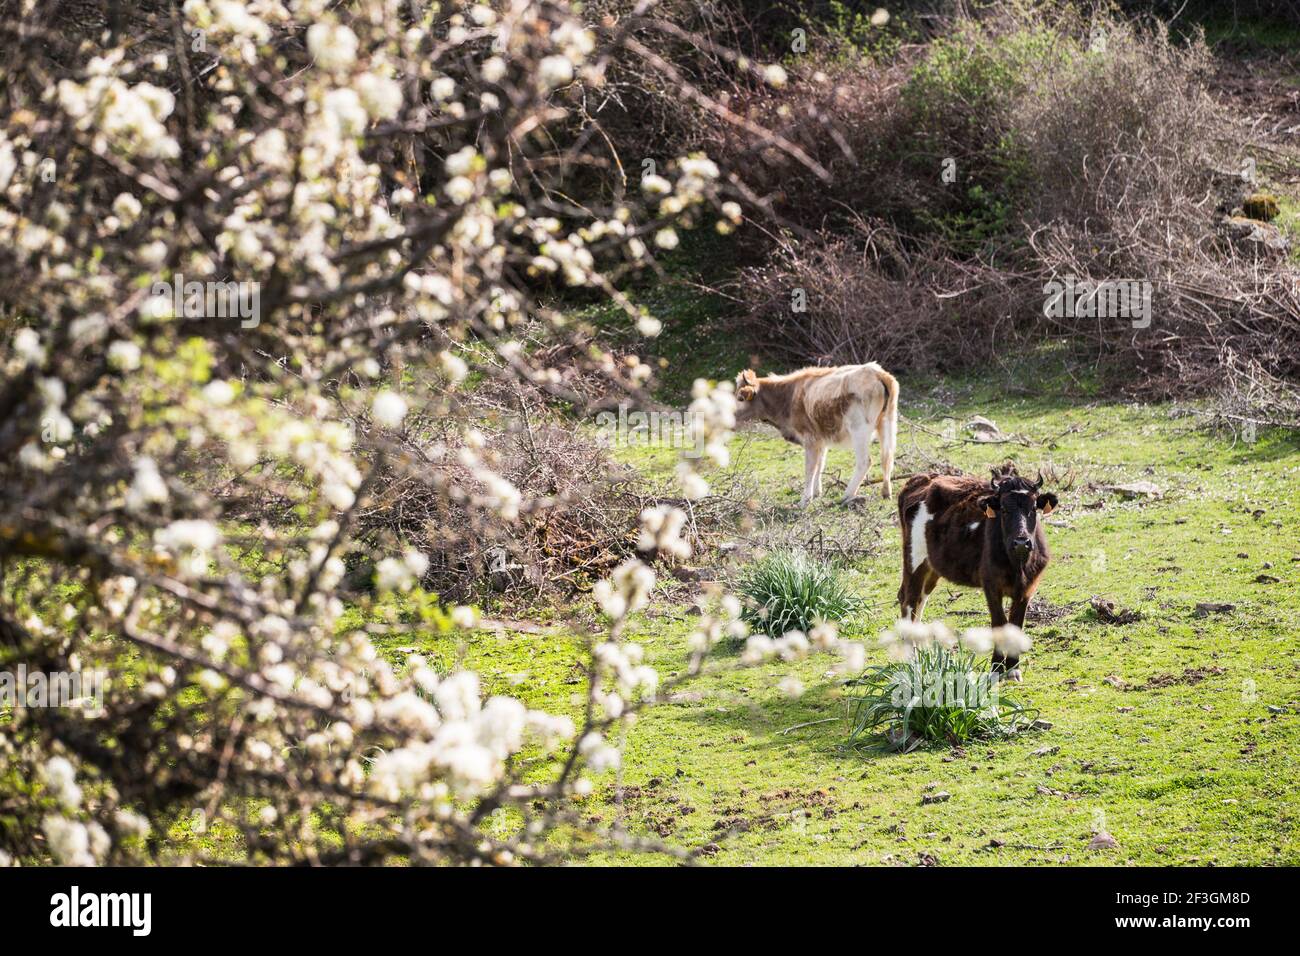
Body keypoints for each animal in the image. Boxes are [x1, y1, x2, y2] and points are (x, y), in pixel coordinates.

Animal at [733, 363, 899, 507]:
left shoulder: (810, 439)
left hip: (859, 429)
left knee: (865, 461)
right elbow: (820, 464)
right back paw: (886, 492)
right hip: (888, 422)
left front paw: (805, 500)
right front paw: (817, 492)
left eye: (740, 398)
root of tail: (875, 371)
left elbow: (810, 469)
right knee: (887, 458)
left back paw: (847, 495)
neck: (788, 396)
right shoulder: (821, 439)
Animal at [896, 464, 1060, 679]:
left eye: (1033, 509)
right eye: (1004, 510)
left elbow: (1016, 625)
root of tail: (920, 478)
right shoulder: (990, 585)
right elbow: (999, 623)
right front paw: (997, 669)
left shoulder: (1027, 588)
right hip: (914, 558)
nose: (1021, 542)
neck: (1018, 565)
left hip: (931, 566)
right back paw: (910, 658)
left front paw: (1013, 668)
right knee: (909, 600)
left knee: (919, 600)